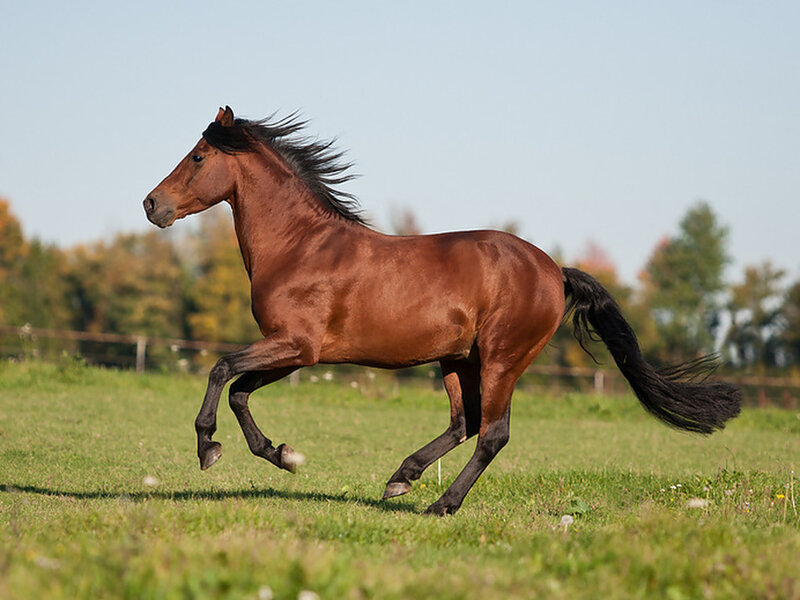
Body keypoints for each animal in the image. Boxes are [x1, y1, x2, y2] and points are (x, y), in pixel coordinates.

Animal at [143, 106, 741, 515]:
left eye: (198, 156)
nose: (151, 205)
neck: (300, 245)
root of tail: (554, 270)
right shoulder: (292, 351)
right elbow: (240, 390)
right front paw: (282, 454)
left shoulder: (297, 345)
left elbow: (221, 369)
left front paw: (208, 448)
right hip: (457, 360)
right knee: (464, 422)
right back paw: (401, 478)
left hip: (502, 359)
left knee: (492, 432)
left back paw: (440, 504)